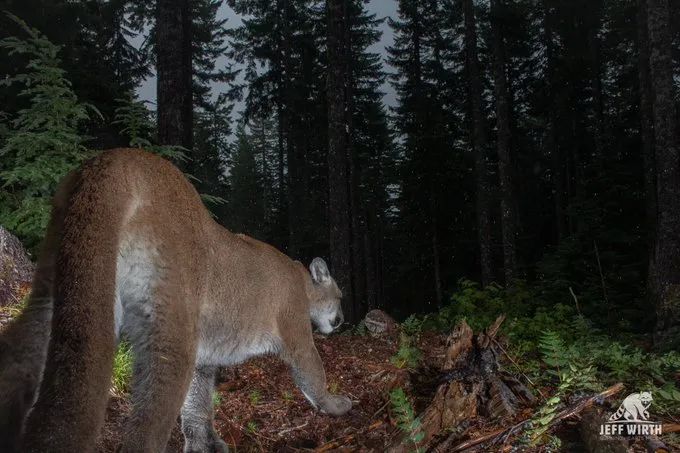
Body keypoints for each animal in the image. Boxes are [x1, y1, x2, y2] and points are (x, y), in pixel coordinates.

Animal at [0, 147, 350, 450]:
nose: (342, 320)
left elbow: (198, 402)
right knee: (146, 426)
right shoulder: (295, 332)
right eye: (340, 296)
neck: (302, 281)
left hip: (58, 282)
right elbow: (312, 372)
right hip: (171, 329)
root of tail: (118, 158)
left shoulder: (205, 356)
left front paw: (204, 444)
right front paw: (336, 404)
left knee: (23, 342)